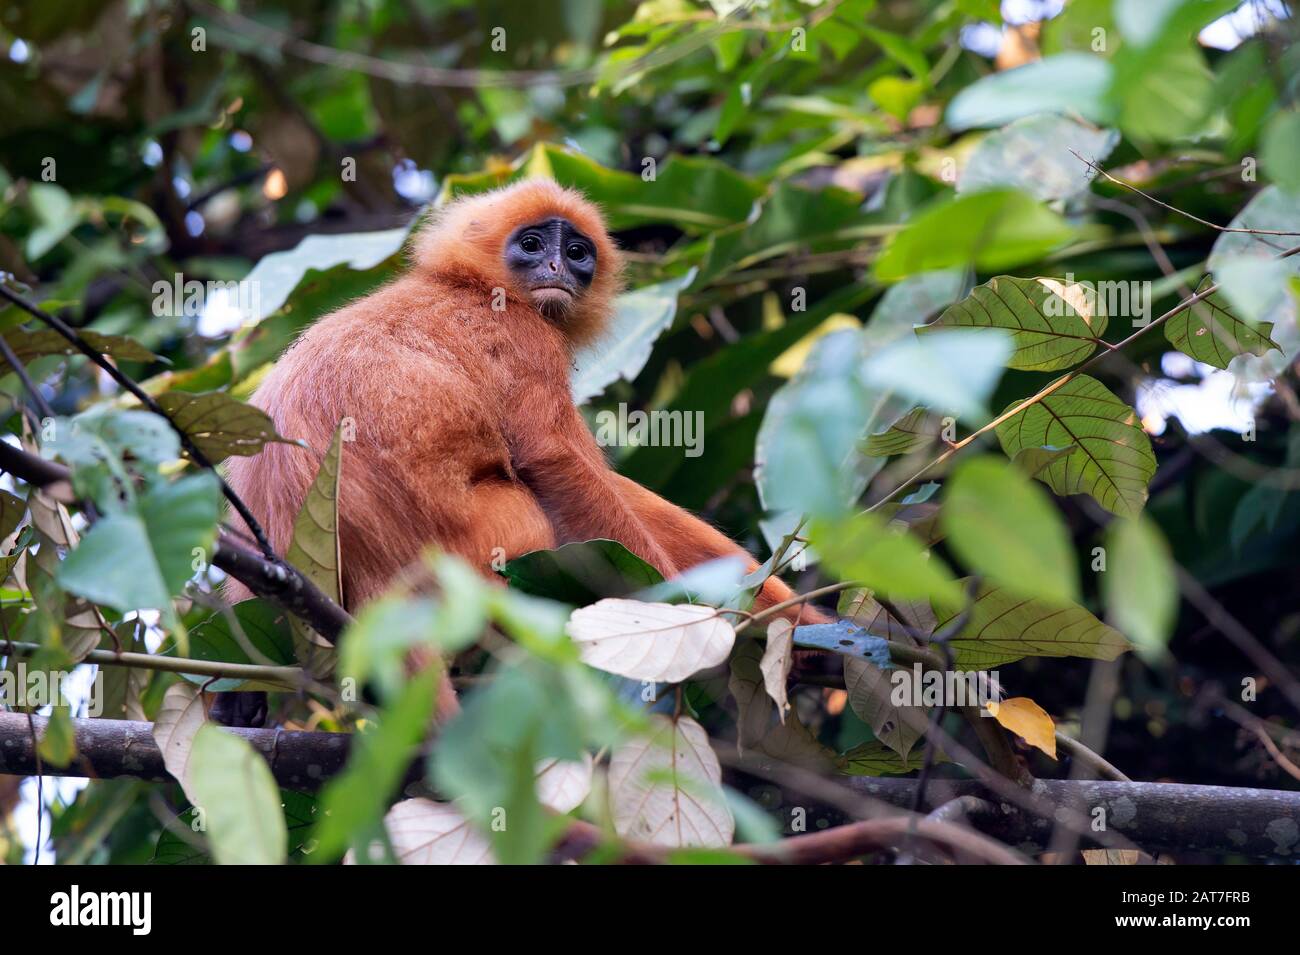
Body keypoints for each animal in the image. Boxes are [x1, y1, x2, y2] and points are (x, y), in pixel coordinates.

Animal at [222, 178, 826, 717]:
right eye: (533, 246)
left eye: (577, 253)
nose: (557, 268)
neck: (467, 286)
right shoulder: (524, 339)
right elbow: (554, 457)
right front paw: (687, 618)